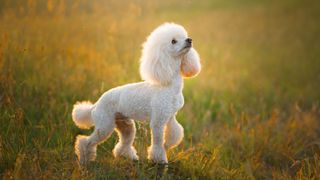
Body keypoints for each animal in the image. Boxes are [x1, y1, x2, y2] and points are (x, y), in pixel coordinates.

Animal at [74, 22, 201, 165]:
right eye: (173, 41)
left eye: (184, 37)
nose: (189, 40)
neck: (169, 85)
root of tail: (95, 105)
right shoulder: (158, 121)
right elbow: (158, 144)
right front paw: (160, 160)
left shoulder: (170, 117)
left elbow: (175, 133)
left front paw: (168, 144)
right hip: (104, 125)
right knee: (86, 141)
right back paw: (84, 160)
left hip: (126, 125)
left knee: (123, 144)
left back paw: (128, 157)